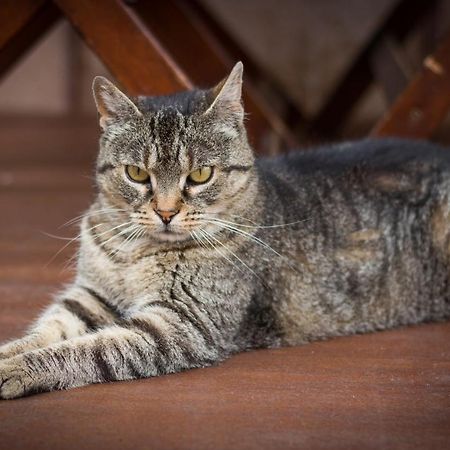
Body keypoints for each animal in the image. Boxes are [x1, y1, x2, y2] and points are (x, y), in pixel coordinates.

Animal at [0, 60, 448, 400]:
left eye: (200, 175)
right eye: (137, 173)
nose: (166, 212)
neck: (137, 251)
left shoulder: (181, 323)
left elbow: (89, 350)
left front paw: (18, 369)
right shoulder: (90, 296)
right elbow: (48, 330)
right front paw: (11, 352)